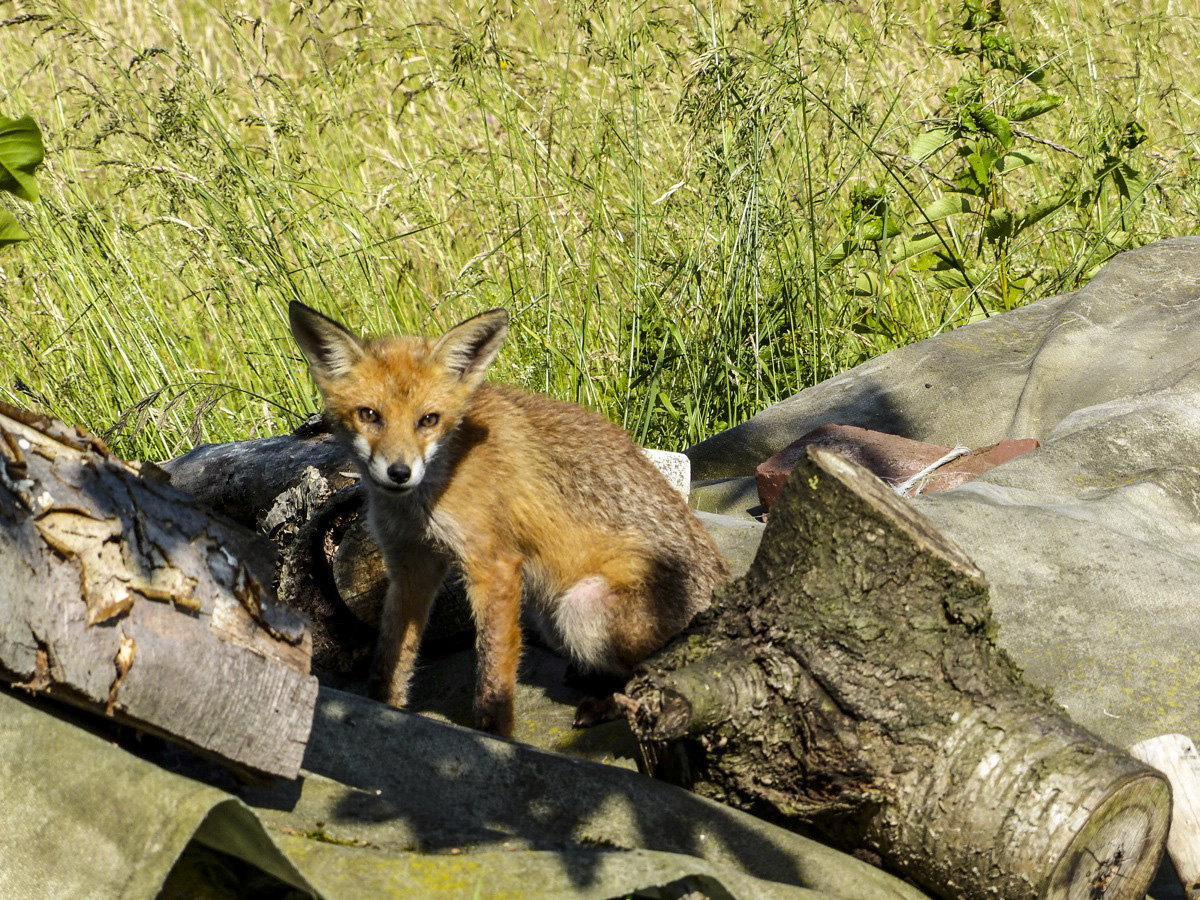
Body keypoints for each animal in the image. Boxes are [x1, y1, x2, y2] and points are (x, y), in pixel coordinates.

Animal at [288, 303, 729, 739]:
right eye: (369, 415)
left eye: (428, 420)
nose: (399, 473)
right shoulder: (409, 565)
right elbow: (390, 656)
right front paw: (383, 709)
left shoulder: (494, 564)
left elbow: (493, 667)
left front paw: (494, 734)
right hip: (551, 613)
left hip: (580, 609)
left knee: (654, 677)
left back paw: (608, 702)